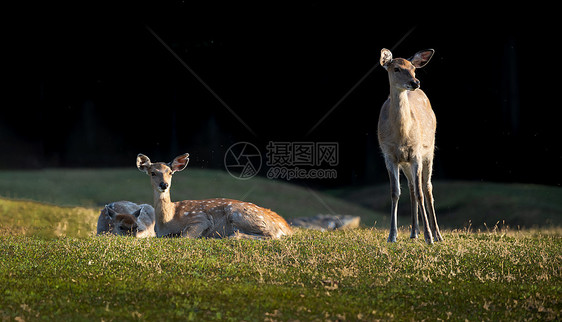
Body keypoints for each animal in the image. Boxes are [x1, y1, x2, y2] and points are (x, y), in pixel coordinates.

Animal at [136, 152, 294, 238]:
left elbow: (185, 236)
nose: (164, 185)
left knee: (271, 234)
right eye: (152, 173)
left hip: (238, 213)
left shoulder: (200, 218)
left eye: (170, 172)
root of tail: (286, 228)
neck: (168, 220)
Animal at [376, 47, 442, 244]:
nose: (415, 82)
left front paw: (429, 237)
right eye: (396, 68)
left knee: (426, 188)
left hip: (429, 151)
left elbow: (421, 193)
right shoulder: (389, 156)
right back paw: (414, 232)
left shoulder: (416, 154)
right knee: (412, 187)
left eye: (413, 68)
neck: (401, 136)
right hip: (405, 163)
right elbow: (395, 192)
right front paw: (392, 235)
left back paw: (437, 234)